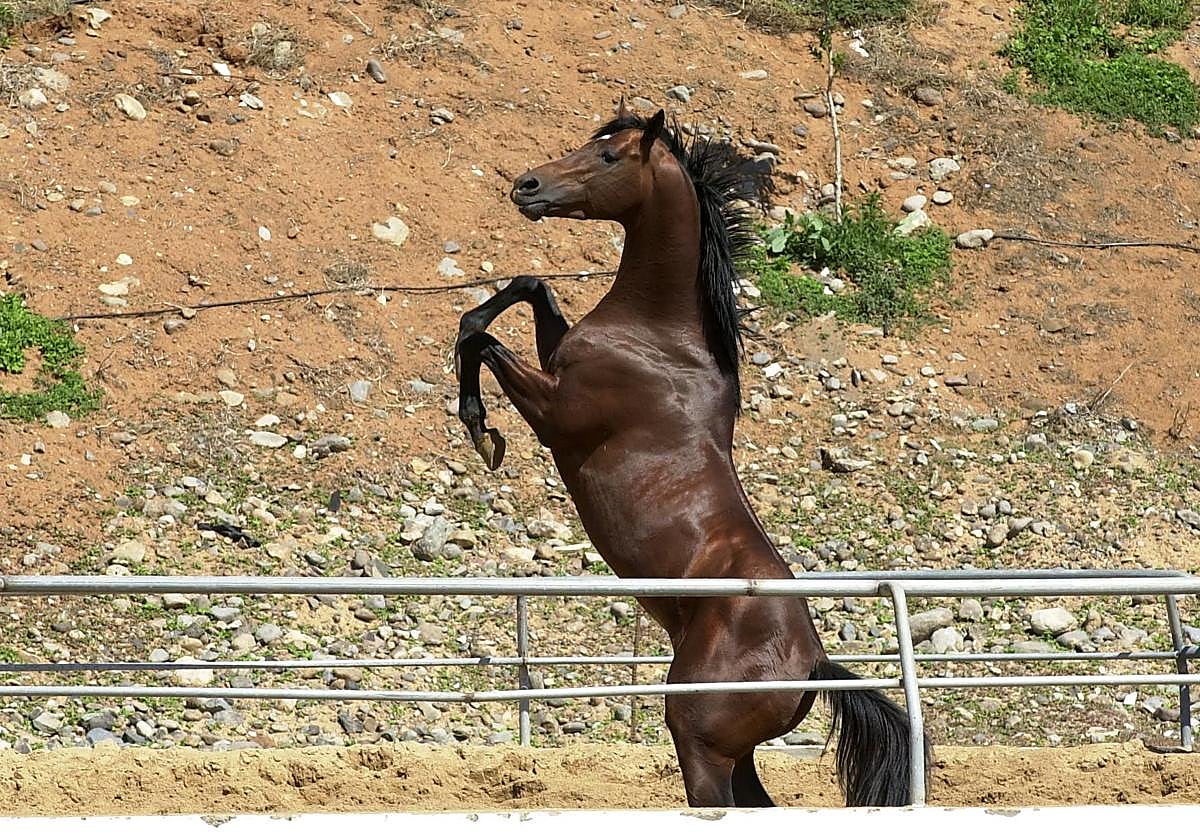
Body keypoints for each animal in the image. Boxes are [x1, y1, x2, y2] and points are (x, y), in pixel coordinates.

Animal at [453, 102, 927, 808]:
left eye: (609, 156)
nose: (527, 186)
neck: (659, 338)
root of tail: (814, 664)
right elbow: (530, 286)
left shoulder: (557, 413)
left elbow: (479, 341)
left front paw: (482, 430)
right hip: (737, 758)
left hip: (700, 747)